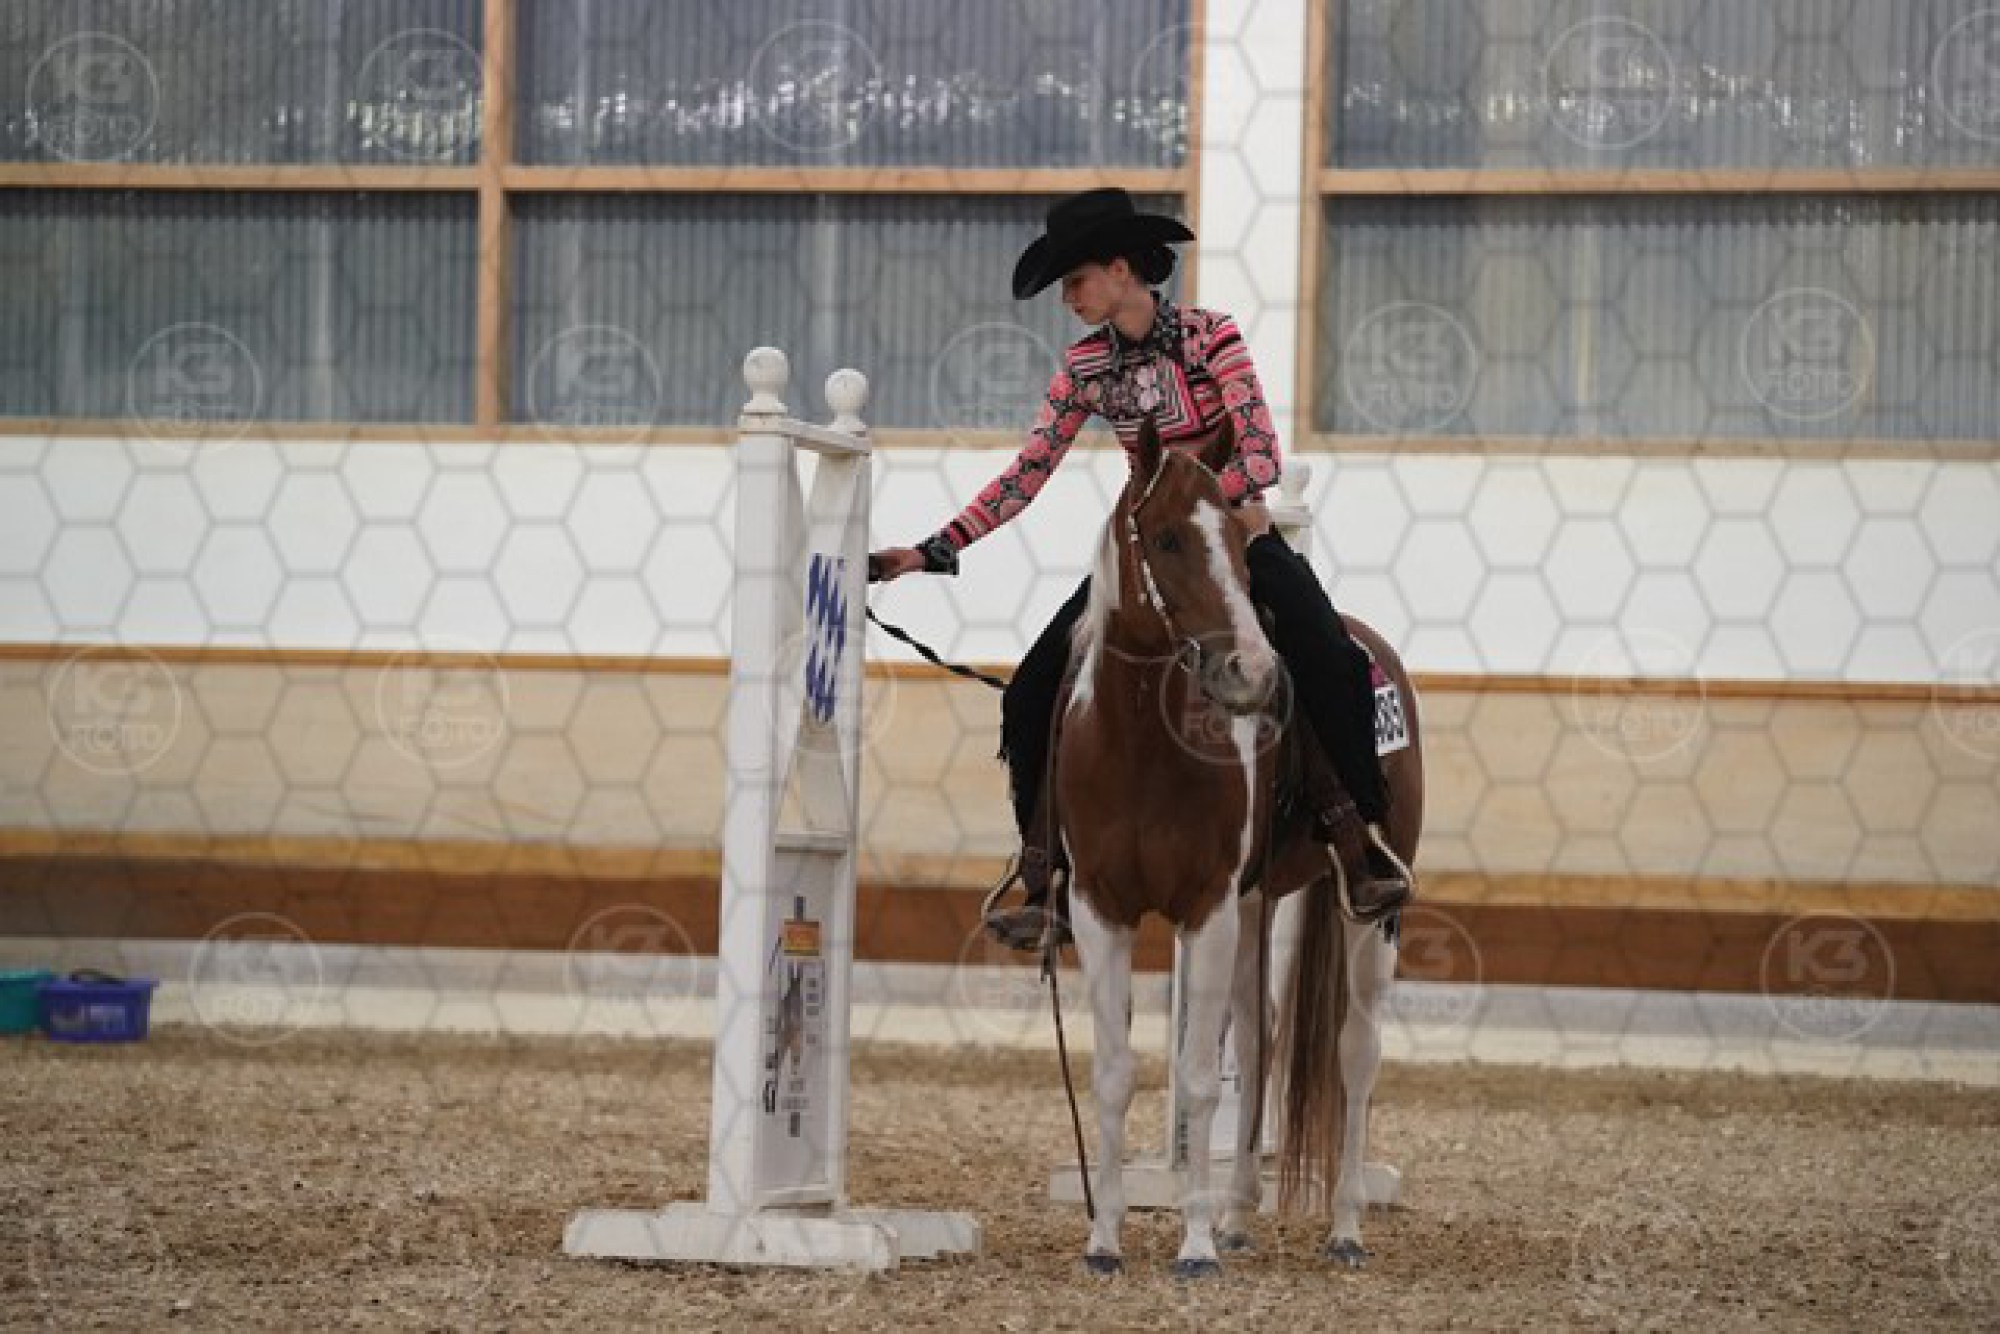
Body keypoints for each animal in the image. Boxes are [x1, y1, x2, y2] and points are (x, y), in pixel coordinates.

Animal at [1055, 417, 1423, 1277]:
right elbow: (1116, 1074)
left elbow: (1195, 1079)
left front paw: (1190, 1248)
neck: (1141, 746)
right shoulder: (1100, 910)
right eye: (1165, 538)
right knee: (1262, 1042)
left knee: (1357, 1053)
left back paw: (1344, 1227)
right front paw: (1105, 1239)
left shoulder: (1207, 908)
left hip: (1369, 915)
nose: (1251, 671)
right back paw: (1237, 1211)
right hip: (1259, 902)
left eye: (1232, 534)